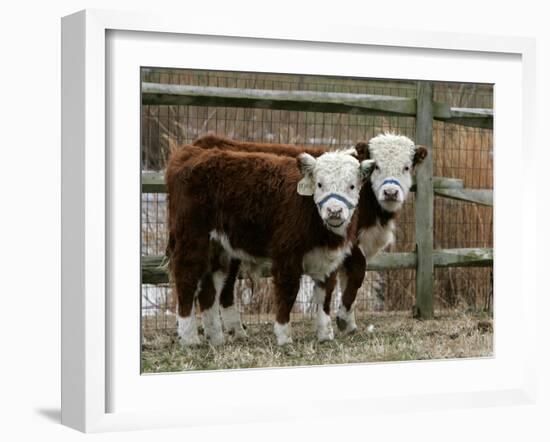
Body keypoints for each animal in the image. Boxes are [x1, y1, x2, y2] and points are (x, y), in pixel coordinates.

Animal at [167, 145, 376, 346]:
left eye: (352, 186)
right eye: (319, 184)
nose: (334, 211)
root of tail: (191, 153)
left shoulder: (329, 259)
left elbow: (325, 295)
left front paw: (325, 335)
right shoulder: (287, 254)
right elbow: (288, 291)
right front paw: (284, 336)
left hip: (219, 249)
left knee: (209, 288)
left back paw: (216, 338)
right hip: (192, 238)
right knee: (186, 277)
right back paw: (190, 338)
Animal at [194, 133, 432, 336]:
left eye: (406, 167)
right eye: (378, 167)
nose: (390, 192)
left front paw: (349, 323)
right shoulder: (350, 242)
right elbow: (358, 271)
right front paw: (343, 319)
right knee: (225, 287)